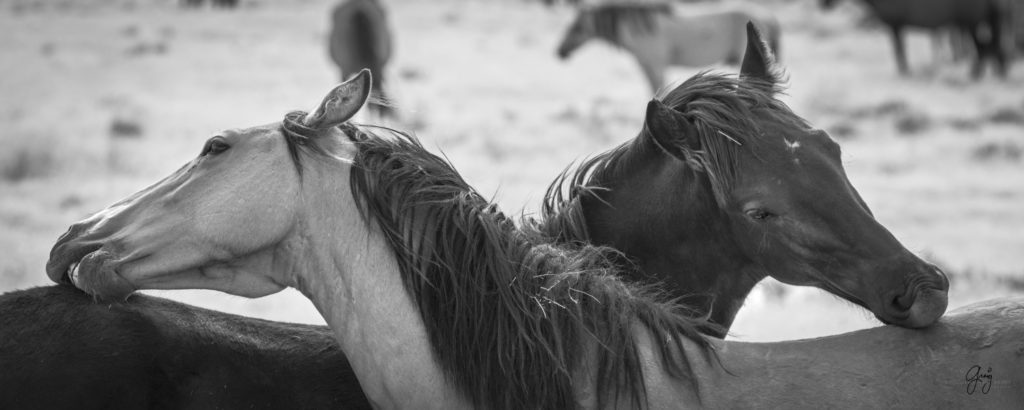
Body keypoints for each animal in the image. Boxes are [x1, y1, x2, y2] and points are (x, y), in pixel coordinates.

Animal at [557, 2, 778, 92]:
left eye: (577, 27)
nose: (560, 52)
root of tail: (768, 17)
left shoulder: (655, 65)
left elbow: (658, 89)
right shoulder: (646, 65)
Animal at [819, 0, 1011, 78]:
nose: (824, 5)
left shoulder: (895, 25)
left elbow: (899, 50)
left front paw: (904, 71)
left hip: (971, 23)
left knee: (982, 49)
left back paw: (975, 74)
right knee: (993, 48)